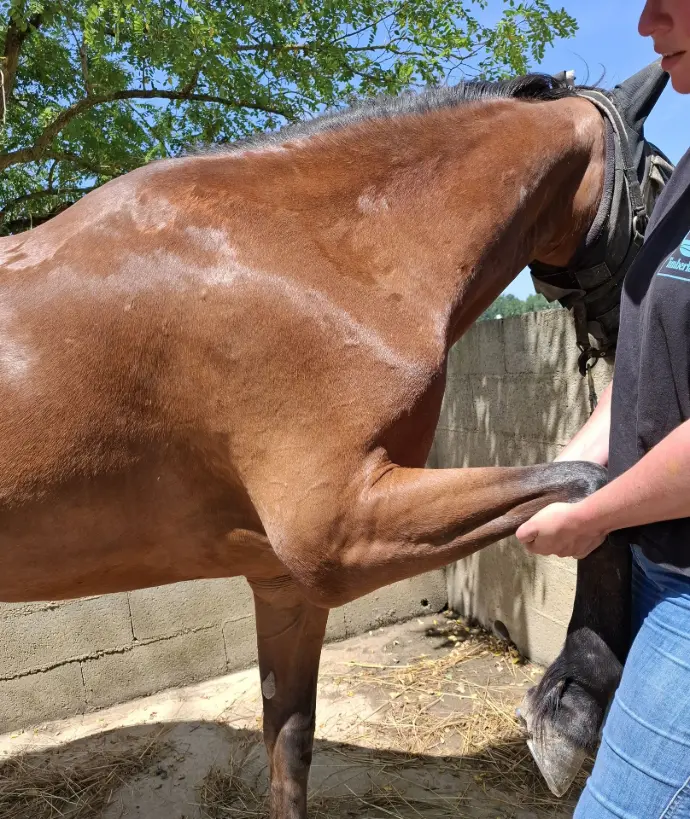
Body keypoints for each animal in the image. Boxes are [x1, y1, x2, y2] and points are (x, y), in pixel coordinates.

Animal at [0, 62, 668, 812]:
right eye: (662, 180)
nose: (631, 337)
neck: (313, 258)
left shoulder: (283, 581)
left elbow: (289, 743)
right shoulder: (338, 535)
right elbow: (593, 490)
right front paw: (569, 709)